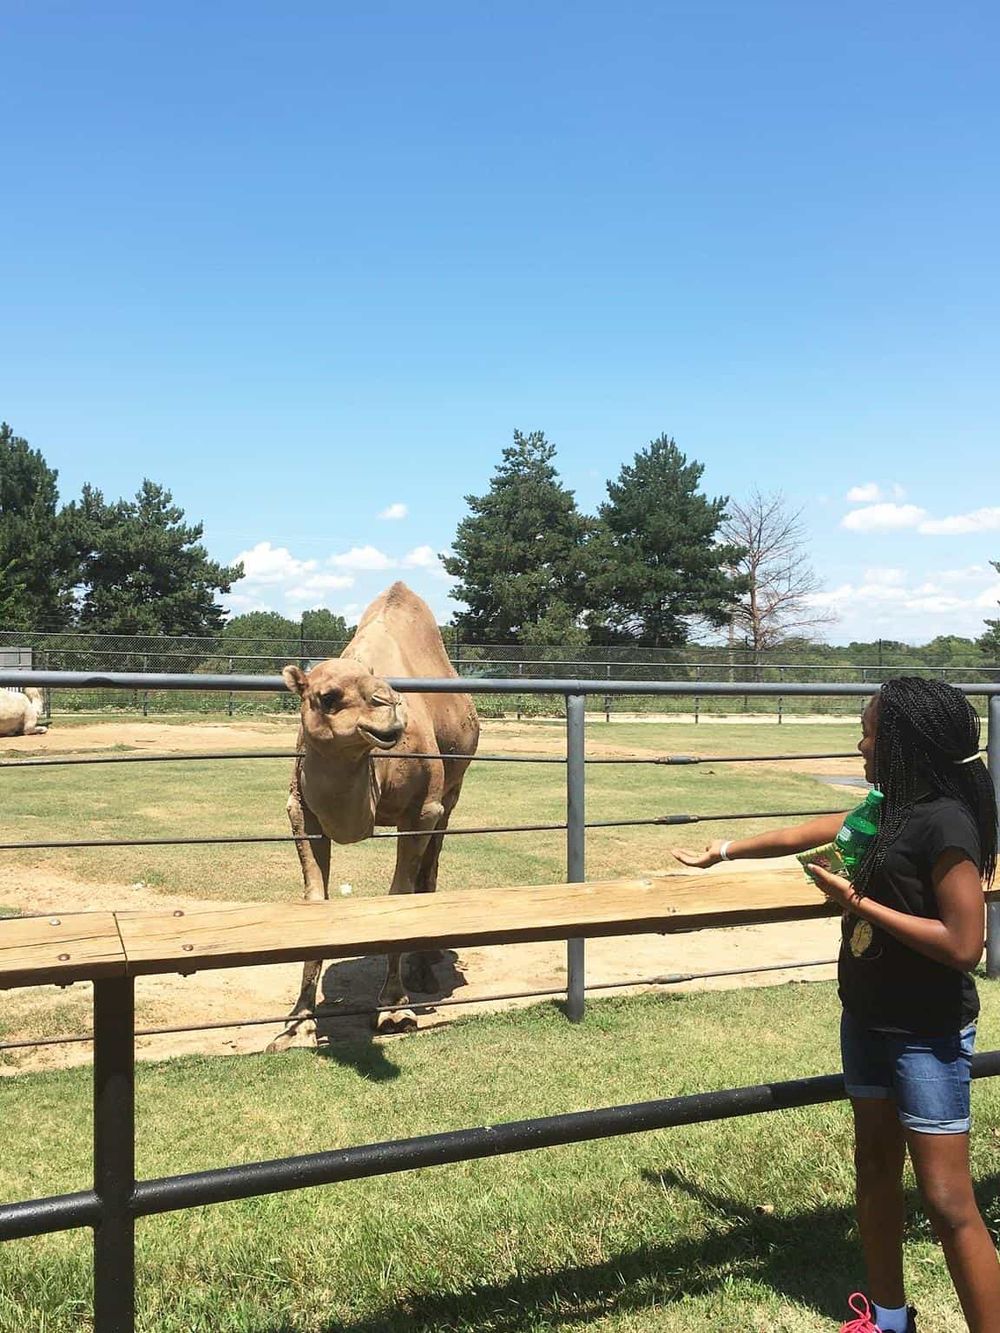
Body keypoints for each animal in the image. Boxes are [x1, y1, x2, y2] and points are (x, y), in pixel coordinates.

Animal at [268, 583, 479, 1049]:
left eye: (382, 691)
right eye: (327, 697)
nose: (392, 711)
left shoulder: (423, 810)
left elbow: (399, 894)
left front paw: (393, 1009)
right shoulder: (301, 811)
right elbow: (316, 901)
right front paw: (297, 1023)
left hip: (451, 794)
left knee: (429, 871)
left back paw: (425, 968)